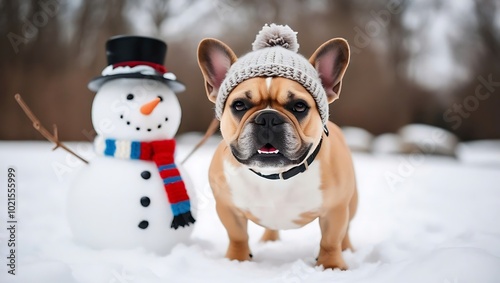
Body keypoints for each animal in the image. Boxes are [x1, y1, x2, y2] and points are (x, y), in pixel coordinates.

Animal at [197, 25, 358, 270]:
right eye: (239, 105)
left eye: (299, 106)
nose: (268, 118)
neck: (275, 176)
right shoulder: (227, 208)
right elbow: (237, 235)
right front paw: (237, 261)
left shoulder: (335, 209)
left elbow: (331, 239)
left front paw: (331, 266)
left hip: (352, 203)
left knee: (346, 229)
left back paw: (347, 249)